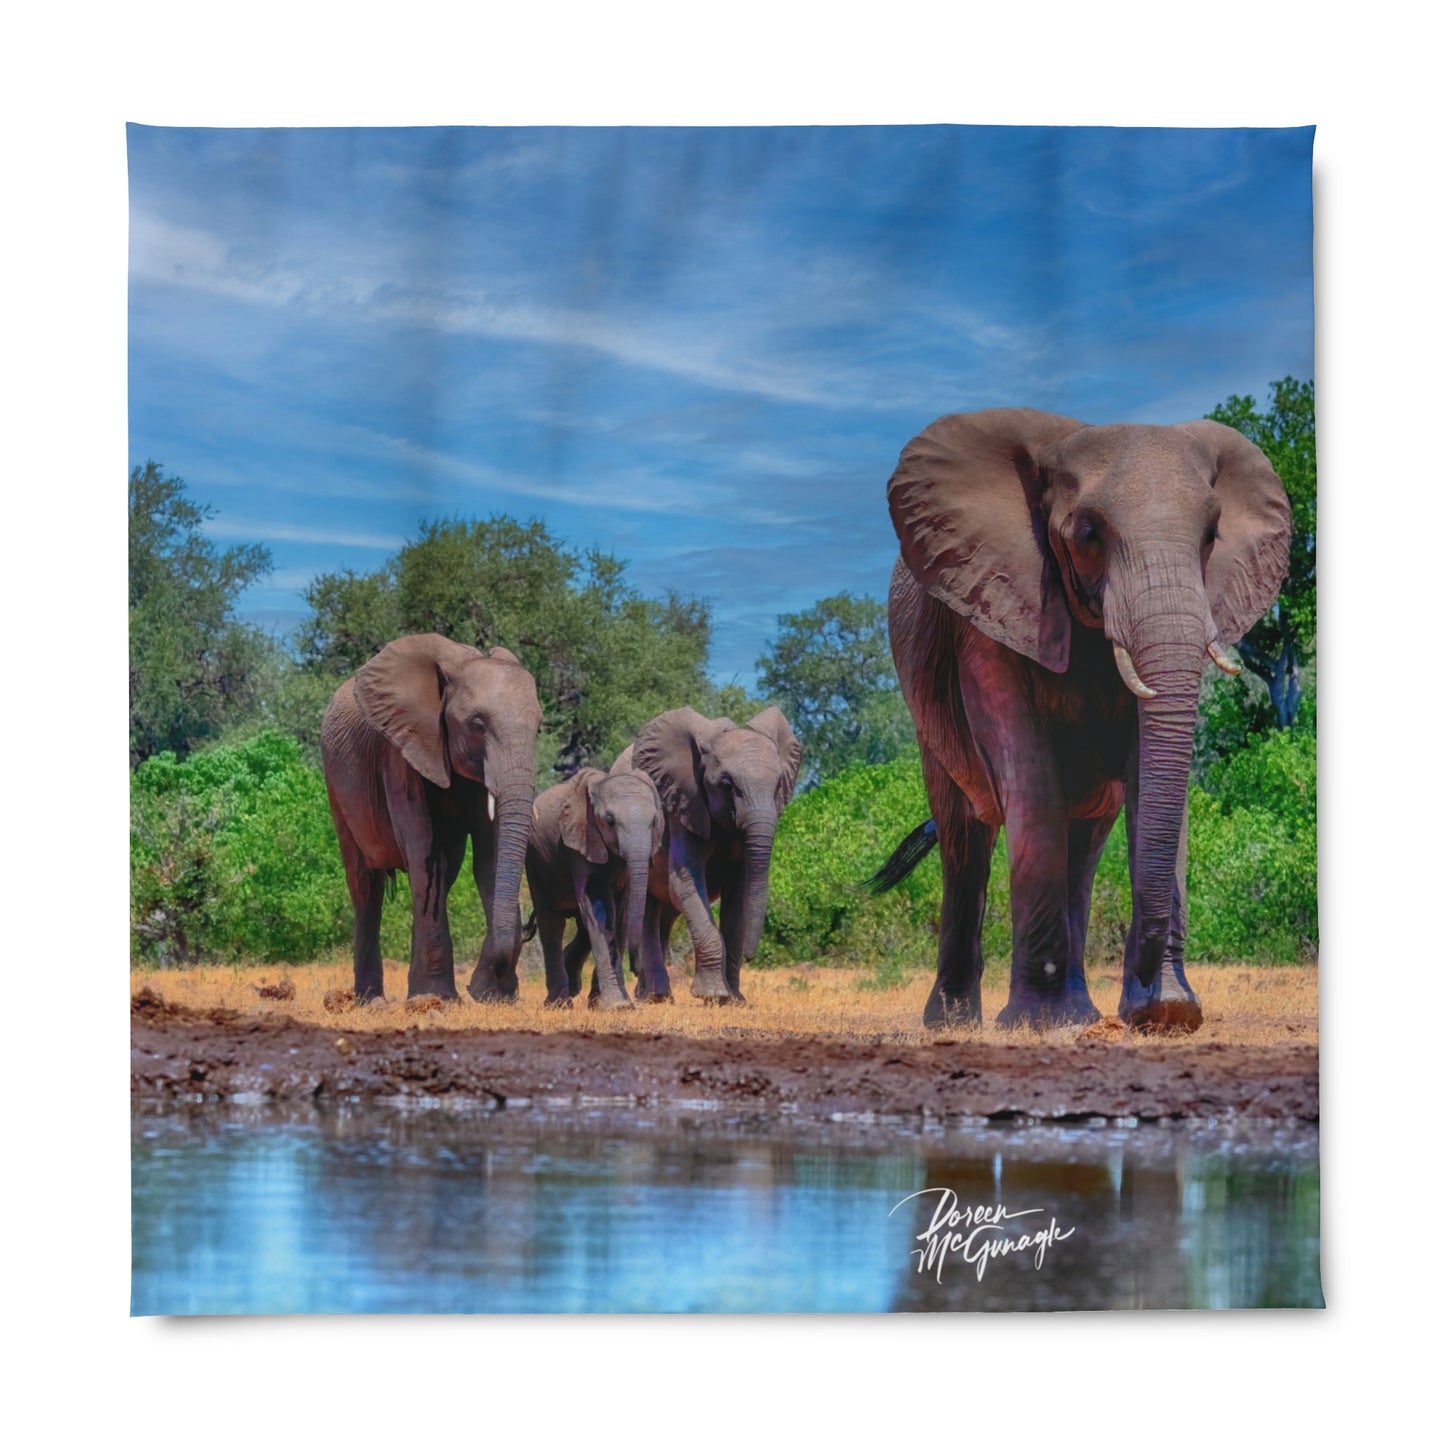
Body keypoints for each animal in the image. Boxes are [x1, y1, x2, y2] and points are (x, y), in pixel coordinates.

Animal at [320, 633, 543, 1003]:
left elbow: (489, 858)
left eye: (539, 730)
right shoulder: (401, 752)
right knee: (366, 885)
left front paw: (489, 995)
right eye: (477, 724)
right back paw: (372, 1001)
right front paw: (441, 998)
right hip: (335, 784)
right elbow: (424, 848)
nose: (479, 985)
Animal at [524, 766, 665, 1009]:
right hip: (535, 859)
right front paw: (617, 1006)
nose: (636, 970)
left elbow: (620, 915)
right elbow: (599, 907)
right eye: (610, 821)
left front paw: (614, 1004)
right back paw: (559, 1004)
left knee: (581, 927)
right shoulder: (579, 840)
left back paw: (574, 988)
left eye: (654, 821)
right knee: (551, 922)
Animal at [614, 706, 803, 1003]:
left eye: (778, 786)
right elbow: (685, 881)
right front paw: (713, 995)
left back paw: (651, 995)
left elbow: (739, 892)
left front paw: (735, 1000)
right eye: (727, 784)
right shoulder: (683, 804)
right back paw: (656, 996)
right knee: (646, 908)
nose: (751, 956)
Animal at [874, 409, 1290, 1032]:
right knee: (964, 838)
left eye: (1211, 537)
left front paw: (1167, 1011)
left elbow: (1149, 777)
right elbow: (1030, 774)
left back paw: (1079, 1013)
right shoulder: (990, 607)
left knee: (1085, 843)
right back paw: (956, 1023)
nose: (1146, 983)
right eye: (1088, 535)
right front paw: (1037, 1023)